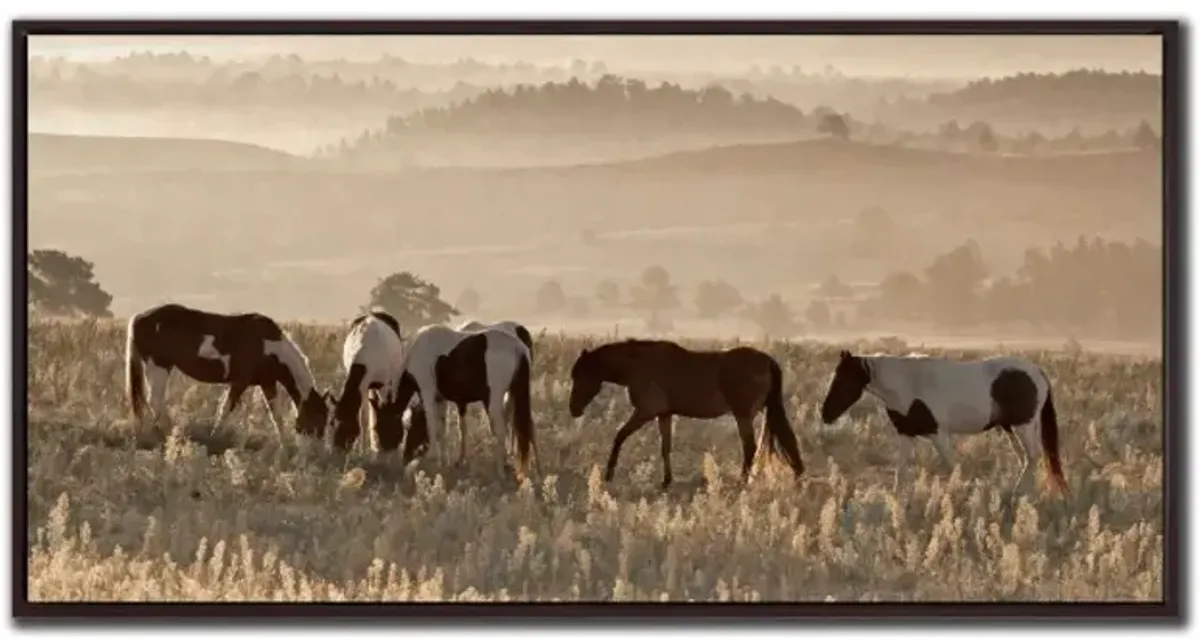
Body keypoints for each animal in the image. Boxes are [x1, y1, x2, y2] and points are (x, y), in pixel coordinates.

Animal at [125, 303, 334, 438]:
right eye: (317, 418)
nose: (315, 450)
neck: (268, 347)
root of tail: (138, 318)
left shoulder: (267, 383)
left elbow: (276, 414)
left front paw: (283, 442)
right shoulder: (240, 382)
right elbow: (226, 409)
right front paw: (215, 434)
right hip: (158, 368)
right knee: (155, 401)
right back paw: (161, 432)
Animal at [331, 311, 407, 452]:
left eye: (347, 424)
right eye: (332, 422)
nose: (337, 448)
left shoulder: (384, 384)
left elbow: (383, 410)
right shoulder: (363, 387)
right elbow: (363, 417)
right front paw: (362, 450)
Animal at [567, 339, 806, 490]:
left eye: (581, 376)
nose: (573, 409)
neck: (638, 364)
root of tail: (767, 360)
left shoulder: (645, 411)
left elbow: (619, 436)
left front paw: (609, 474)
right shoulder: (664, 414)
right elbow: (665, 448)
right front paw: (666, 481)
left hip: (743, 416)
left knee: (749, 448)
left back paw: (742, 482)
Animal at [819, 349, 1069, 497]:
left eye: (844, 379)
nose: (825, 414)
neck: (908, 383)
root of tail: (1036, 370)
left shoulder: (937, 434)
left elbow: (952, 465)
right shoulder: (906, 433)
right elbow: (901, 468)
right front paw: (897, 500)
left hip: (1024, 425)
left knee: (1033, 455)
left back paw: (1021, 494)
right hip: (1009, 428)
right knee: (1025, 457)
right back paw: (1020, 493)